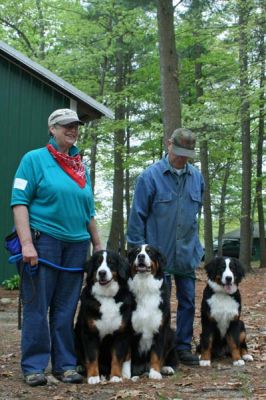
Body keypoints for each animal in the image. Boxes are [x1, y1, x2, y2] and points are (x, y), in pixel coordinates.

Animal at [74, 250, 132, 384]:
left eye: (111, 262)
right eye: (98, 262)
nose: (102, 273)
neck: (107, 297)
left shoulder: (121, 333)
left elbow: (117, 357)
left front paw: (116, 376)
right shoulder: (89, 333)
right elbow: (91, 357)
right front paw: (93, 377)